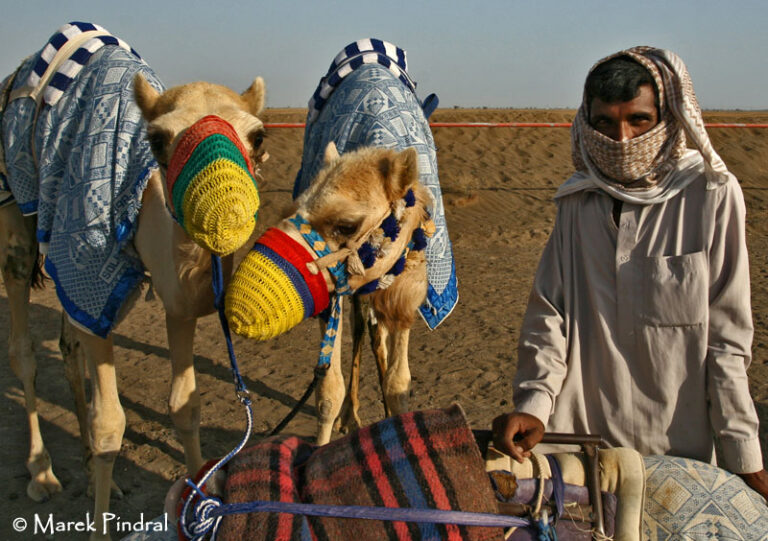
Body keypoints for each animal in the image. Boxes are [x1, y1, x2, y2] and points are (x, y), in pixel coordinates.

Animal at [0, 22, 268, 540]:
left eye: (258, 136)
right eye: (158, 139)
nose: (226, 205)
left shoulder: (178, 303)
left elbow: (185, 405)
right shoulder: (90, 279)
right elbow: (110, 423)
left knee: (68, 347)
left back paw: (87, 474)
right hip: (14, 215)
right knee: (24, 346)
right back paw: (42, 474)